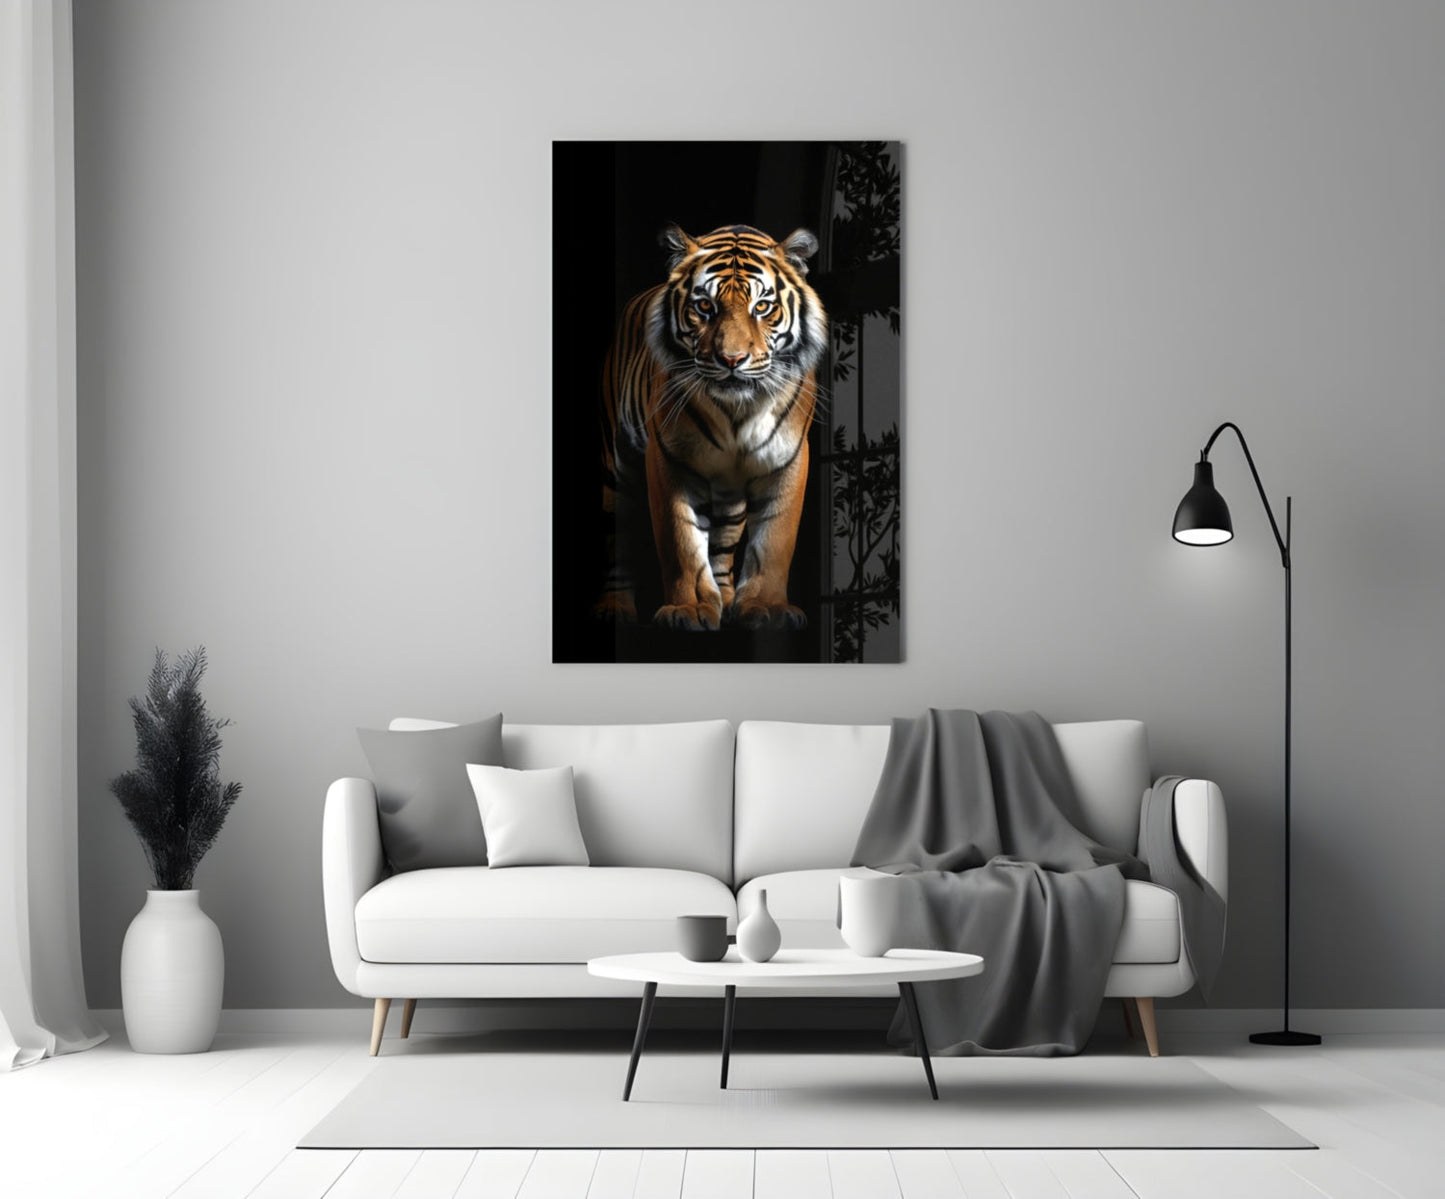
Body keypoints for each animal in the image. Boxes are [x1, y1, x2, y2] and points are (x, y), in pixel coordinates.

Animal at [596, 224, 828, 631]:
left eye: (762, 307)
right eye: (704, 306)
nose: (732, 359)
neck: (739, 411)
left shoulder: (788, 458)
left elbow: (775, 538)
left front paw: (766, 607)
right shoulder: (668, 459)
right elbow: (681, 542)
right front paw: (687, 609)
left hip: (729, 492)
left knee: (723, 542)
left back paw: (727, 599)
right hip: (617, 464)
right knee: (617, 537)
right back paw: (616, 608)